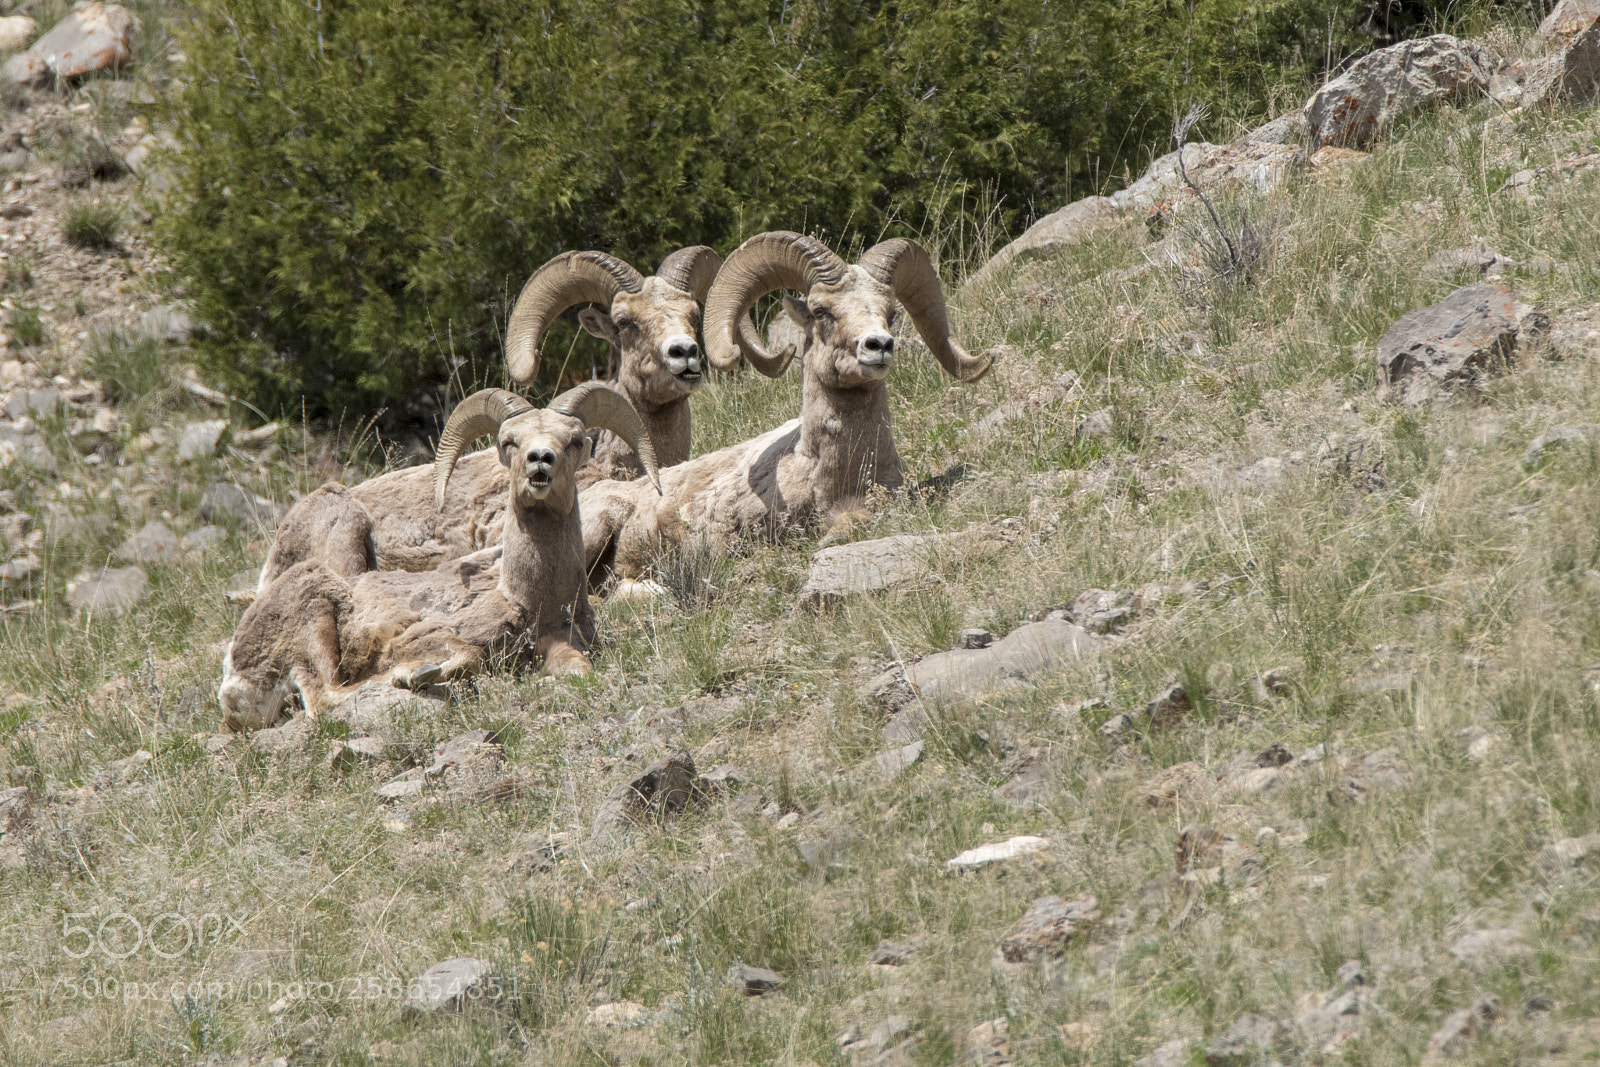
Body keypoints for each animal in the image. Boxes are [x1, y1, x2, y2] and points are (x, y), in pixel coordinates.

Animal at [216, 383, 660, 732]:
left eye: (574, 441)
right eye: (509, 442)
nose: (539, 461)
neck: (533, 600)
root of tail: (233, 675)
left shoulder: (564, 645)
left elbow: (579, 670)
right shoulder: (424, 637)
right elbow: (469, 654)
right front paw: (415, 674)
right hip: (315, 611)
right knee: (327, 697)